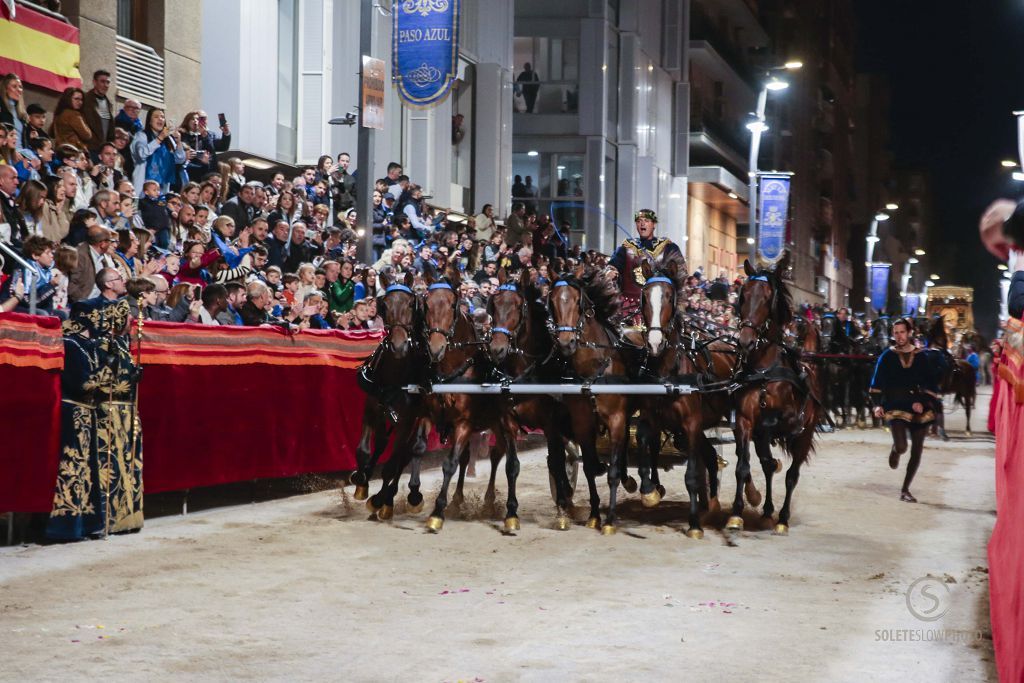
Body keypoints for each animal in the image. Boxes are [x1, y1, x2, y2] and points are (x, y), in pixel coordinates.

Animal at [729, 253, 823, 536]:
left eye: (767, 297)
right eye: (744, 295)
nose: (745, 341)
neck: (764, 370)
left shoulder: (790, 423)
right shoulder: (745, 421)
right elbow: (743, 466)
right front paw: (736, 514)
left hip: (805, 435)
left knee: (792, 475)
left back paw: (782, 518)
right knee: (768, 466)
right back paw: (768, 510)